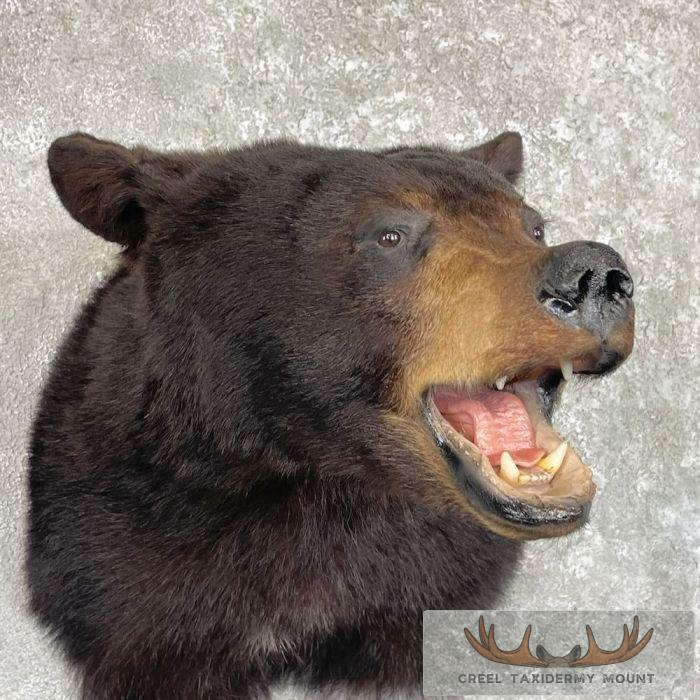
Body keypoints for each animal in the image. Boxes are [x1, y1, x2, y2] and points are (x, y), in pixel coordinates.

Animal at [27, 131, 634, 699]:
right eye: (390, 234)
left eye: (533, 227)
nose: (595, 275)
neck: (320, 479)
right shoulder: (131, 567)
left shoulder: (429, 583)